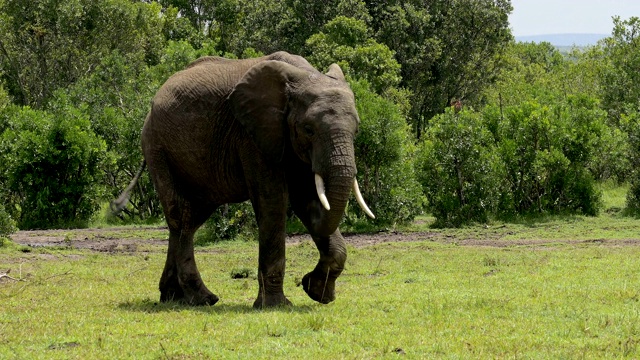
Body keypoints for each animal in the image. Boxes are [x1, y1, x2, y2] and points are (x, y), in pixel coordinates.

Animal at [115, 50, 376, 308]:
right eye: (308, 129)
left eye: (356, 130)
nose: (306, 279)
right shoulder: (252, 136)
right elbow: (273, 202)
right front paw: (276, 305)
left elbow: (308, 198)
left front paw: (317, 292)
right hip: (157, 147)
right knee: (181, 217)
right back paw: (202, 299)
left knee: (189, 219)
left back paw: (174, 297)